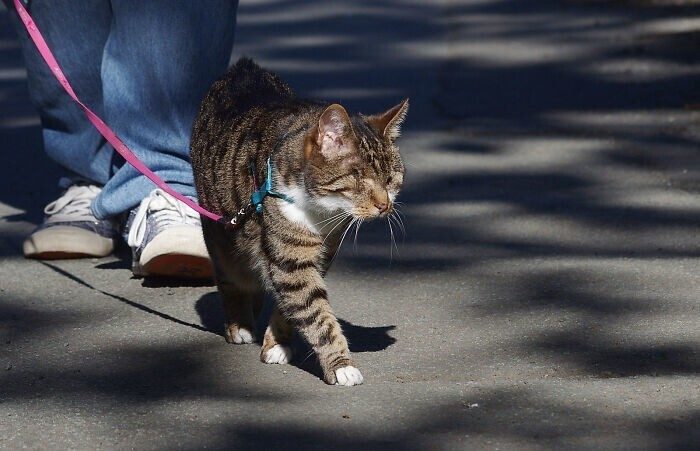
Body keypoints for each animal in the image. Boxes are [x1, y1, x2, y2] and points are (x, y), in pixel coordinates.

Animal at [191, 57, 408, 388]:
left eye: (391, 179)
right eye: (359, 179)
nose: (385, 206)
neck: (322, 211)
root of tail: (243, 67)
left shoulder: (323, 252)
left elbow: (293, 303)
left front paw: (277, 342)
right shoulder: (290, 256)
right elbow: (315, 313)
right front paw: (342, 365)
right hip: (221, 230)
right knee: (231, 275)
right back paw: (239, 323)